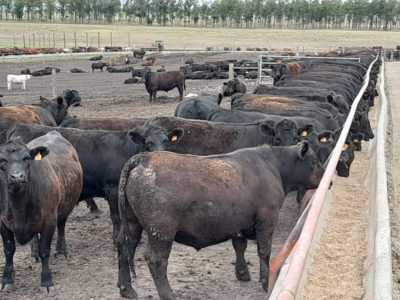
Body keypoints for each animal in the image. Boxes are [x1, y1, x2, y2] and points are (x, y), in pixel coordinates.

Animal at [0, 131, 82, 290]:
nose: (17, 177)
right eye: (2, 160)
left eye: (26, 158)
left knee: (61, 226)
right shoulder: (2, 222)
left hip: (65, 207)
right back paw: (33, 254)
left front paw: (46, 281)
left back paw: (61, 251)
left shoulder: (49, 221)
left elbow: (44, 250)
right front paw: (7, 280)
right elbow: (9, 250)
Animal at [116, 142, 324, 298]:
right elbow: (264, 251)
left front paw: (242, 273)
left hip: (132, 223)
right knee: (156, 260)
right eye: (314, 160)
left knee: (124, 246)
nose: (325, 179)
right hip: (161, 230)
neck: (273, 166)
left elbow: (239, 245)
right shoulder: (268, 218)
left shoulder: (239, 221)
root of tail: (143, 158)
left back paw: (126, 288)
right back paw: (168, 294)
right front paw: (265, 282)